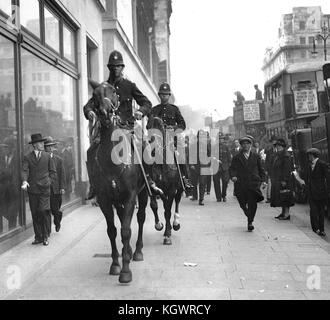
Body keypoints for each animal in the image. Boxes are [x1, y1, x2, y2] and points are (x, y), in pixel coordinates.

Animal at [92, 81, 150, 284]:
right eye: (94, 95)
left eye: (114, 93)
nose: (105, 113)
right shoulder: (104, 200)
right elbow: (112, 230)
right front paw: (116, 264)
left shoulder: (131, 197)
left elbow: (126, 230)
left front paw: (125, 272)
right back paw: (130, 251)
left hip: (143, 193)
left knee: (140, 218)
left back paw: (138, 251)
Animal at [146, 116, 183, 246]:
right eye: (147, 127)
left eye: (161, 127)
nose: (152, 147)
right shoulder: (153, 188)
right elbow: (154, 206)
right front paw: (159, 225)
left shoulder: (172, 189)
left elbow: (168, 211)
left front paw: (167, 235)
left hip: (179, 188)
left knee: (177, 201)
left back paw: (176, 224)